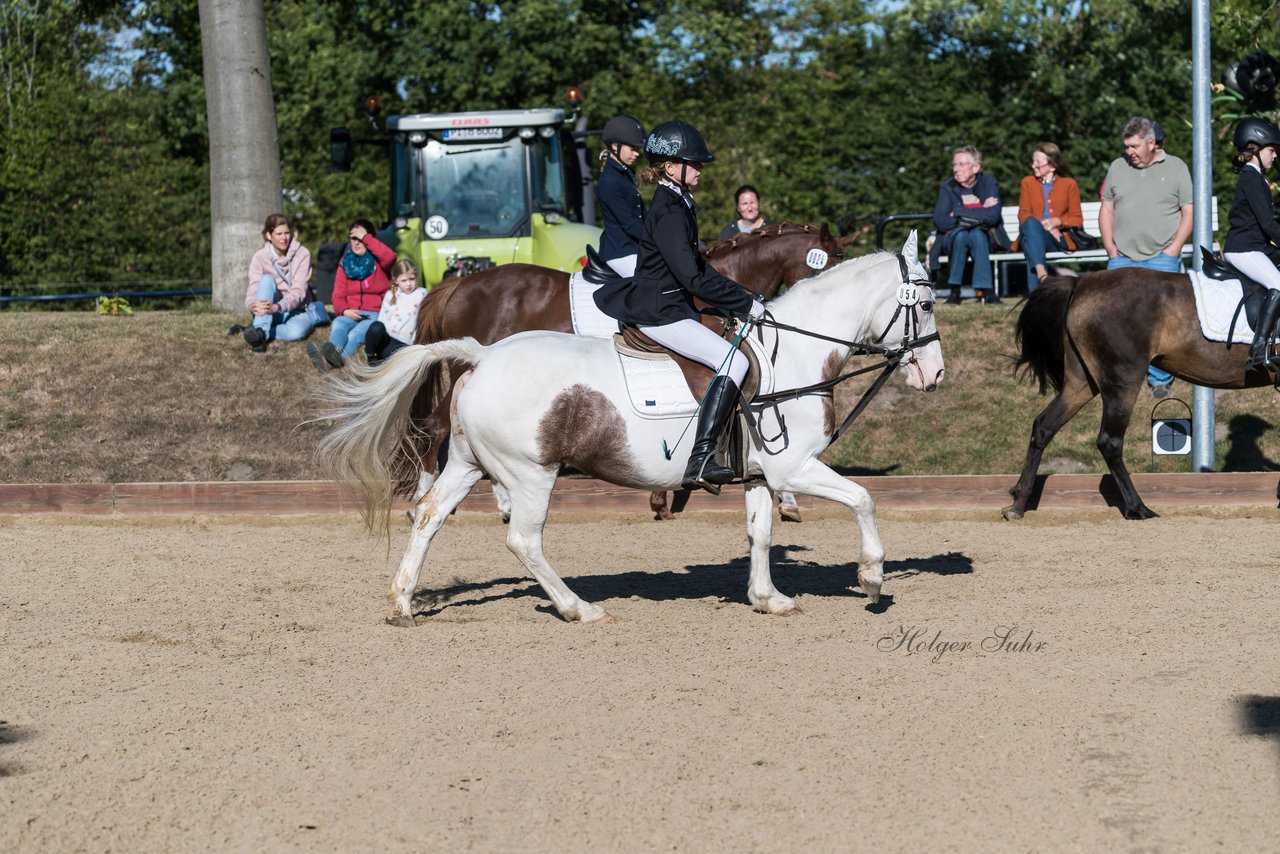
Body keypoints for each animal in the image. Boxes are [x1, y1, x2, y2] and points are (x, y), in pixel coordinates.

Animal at [1003, 268, 1274, 522]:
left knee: (1044, 426)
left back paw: (1019, 503)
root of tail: (1081, 282)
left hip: (1081, 382)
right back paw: (1138, 508)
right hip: (1123, 381)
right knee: (1109, 441)